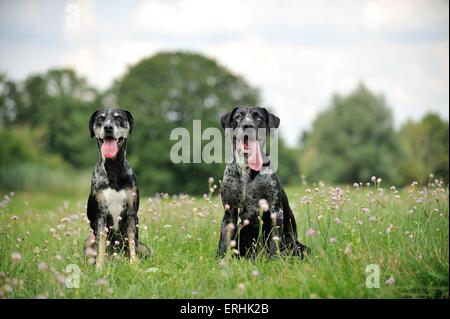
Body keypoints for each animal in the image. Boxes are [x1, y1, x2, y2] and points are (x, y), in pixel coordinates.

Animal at [82, 108, 149, 270]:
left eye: (119, 118)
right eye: (100, 118)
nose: (108, 127)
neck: (113, 170)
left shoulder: (131, 214)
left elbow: (132, 242)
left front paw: (135, 266)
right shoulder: (101, 214)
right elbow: (101, 244)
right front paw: (100, 267)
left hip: (146, 249)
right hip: (88, 240)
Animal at [218, 106, 310, 258]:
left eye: (259, 117)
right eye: (238, 116)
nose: (247, 125)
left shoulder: (275, 211)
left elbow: (274, 241)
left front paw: (274, 260)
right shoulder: (229, 211)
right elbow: (223, 242)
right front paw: (219, 261)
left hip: (298, 246)